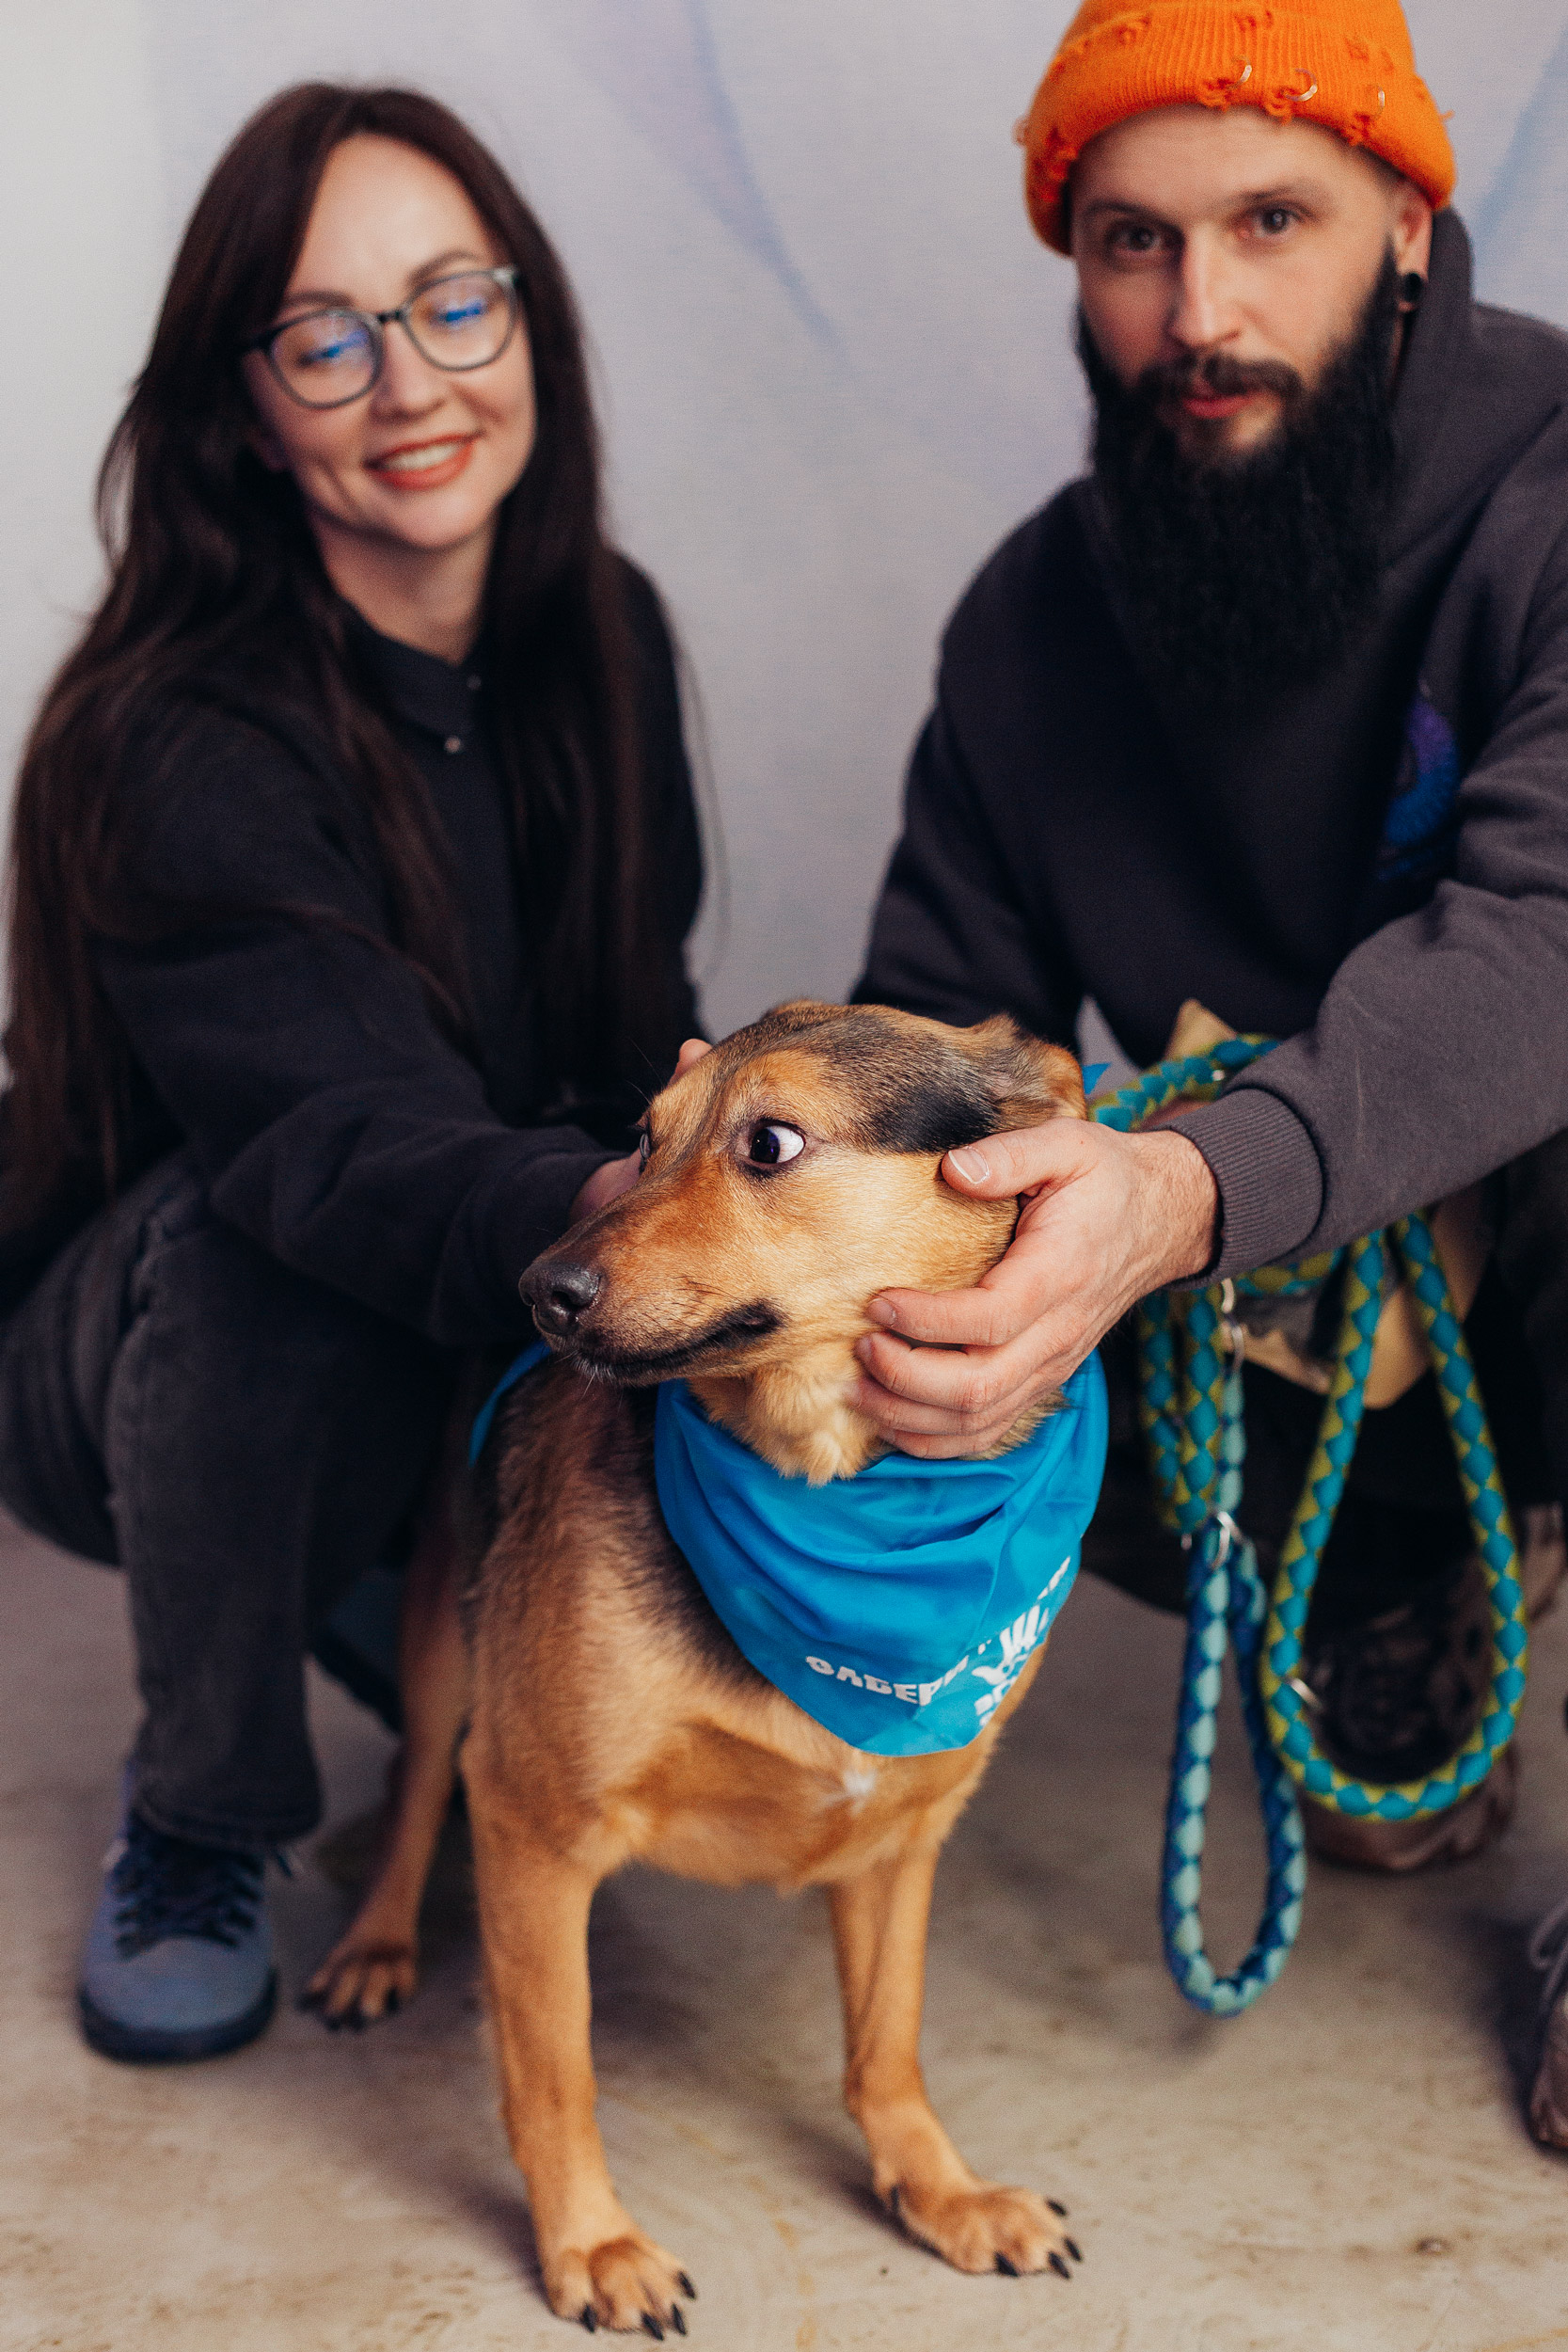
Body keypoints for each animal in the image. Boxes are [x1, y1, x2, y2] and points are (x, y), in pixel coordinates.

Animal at [307, 1001, 1098, 2332]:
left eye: (768, 1142)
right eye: (641, 1138)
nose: (540, 1288)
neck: (828, 1490)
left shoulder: (904, 1834)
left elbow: (887, 2041)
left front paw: (939, 2190)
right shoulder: (533, 1820)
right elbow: (554, 2063)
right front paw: (591, 2242)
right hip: (449, 1628)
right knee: (421, 1778)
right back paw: (375, 1943)